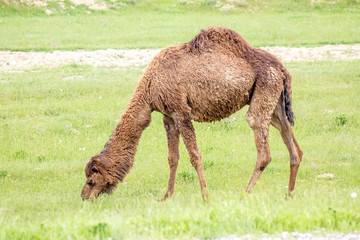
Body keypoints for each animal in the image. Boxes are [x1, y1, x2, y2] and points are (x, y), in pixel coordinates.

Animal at [80, 26, 302, 201]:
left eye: (91, 180)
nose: (84, 196)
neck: (150, 87)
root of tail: (282, 69)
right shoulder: (168, 115)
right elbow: (172, 157)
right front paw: (166, 196)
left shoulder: (181, 110)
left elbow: (194, 156)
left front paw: (205, 196)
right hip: (275, 102)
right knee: (292, 144)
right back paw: (289, 194)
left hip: (265, 91)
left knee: (263, 148)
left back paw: (245, 193)